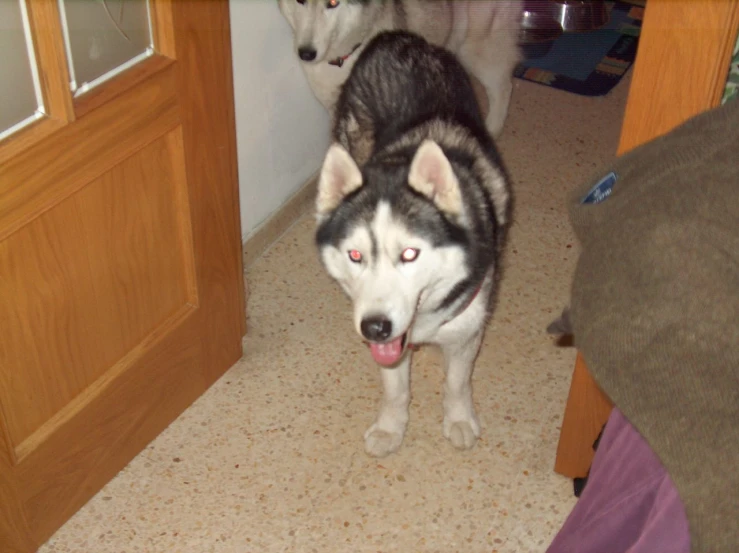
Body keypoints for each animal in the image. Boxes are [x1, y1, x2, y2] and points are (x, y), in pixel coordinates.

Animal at [278, 0, 528, 137]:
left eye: (332, 3)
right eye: (300, 0)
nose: (306, 53)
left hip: (477, 48)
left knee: (503, 86)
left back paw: (492, 128)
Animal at [316, 29, 512, 458]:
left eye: (410, 254)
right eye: (355, 254)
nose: (374, 327)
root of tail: (398, 37)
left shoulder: (467, 331)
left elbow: (457, 382)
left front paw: (458, 418)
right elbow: (395, 389)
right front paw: (391, 427)